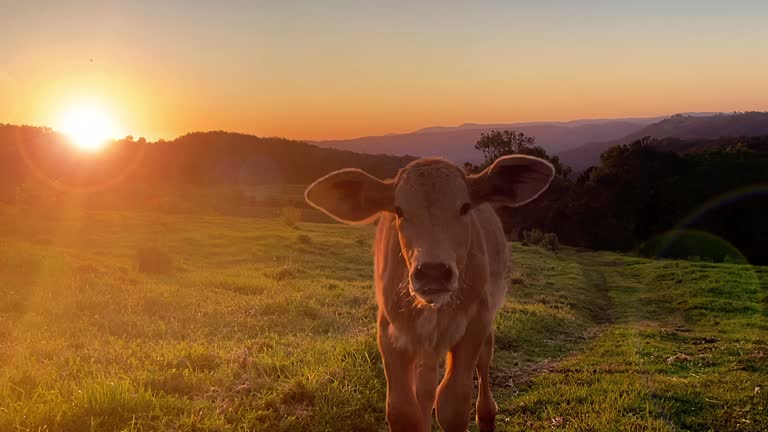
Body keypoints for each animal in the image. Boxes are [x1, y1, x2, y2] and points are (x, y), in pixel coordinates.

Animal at [304, 156, 552, 432]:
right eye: (399, 210)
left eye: (465, 207)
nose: (433, 271)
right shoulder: (390, 330)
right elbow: (402, 410)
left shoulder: (474, 324)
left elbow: (453, 404)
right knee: (425, 388)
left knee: (484, 362)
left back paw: (486, 414)